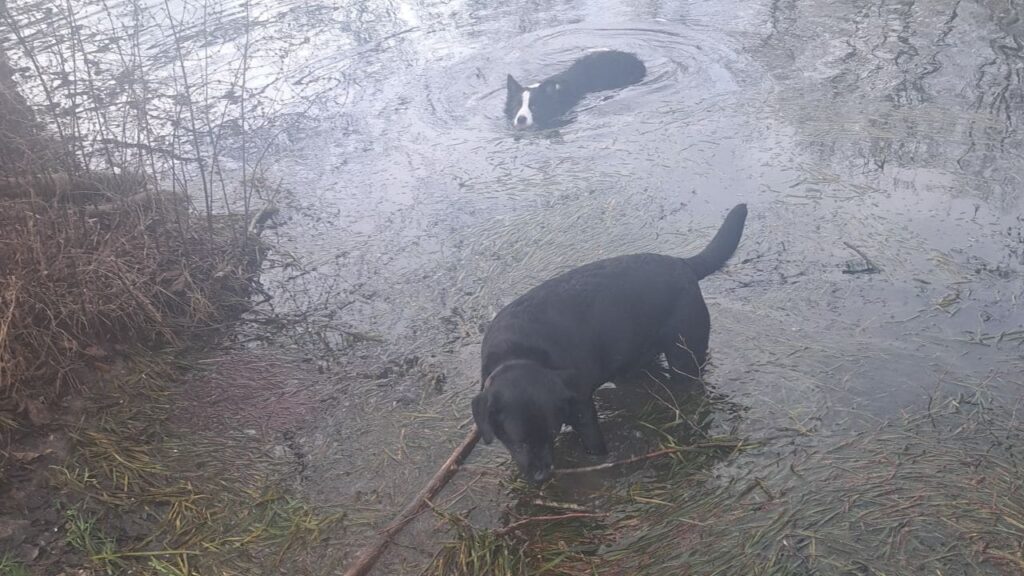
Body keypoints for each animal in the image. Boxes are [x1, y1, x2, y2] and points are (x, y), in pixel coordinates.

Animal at [468, 201, 745, 479]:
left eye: (551, 433)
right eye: (519, 441)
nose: (542, 475)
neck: (518, 353)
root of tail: (683, 264)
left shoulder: (582, 407)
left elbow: (594, 443)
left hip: (684, 356)